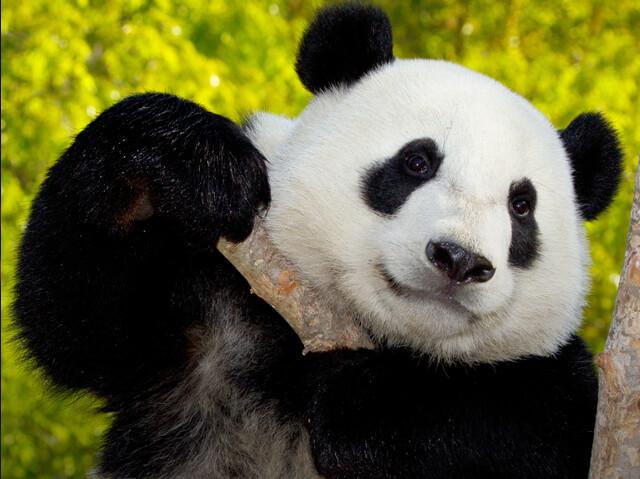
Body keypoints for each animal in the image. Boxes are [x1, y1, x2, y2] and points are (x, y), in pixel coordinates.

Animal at [14, 4, 623, 479]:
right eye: (417, 162)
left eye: (522, 207)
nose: (459, 258)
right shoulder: (206, 313)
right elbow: (76, 321)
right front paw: (186, 158)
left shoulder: (556, 387)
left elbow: (530, 423)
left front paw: (360, 400)